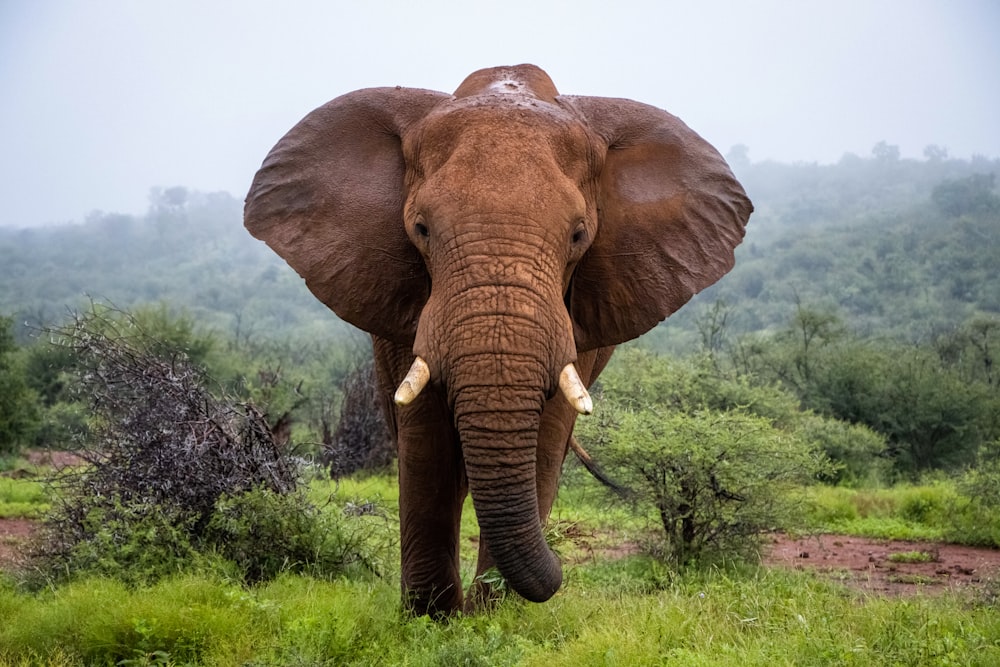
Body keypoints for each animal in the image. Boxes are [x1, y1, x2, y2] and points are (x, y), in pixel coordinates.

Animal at [244, 64, 752, 616]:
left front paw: (495, 617)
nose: (561, 567)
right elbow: (425, 438)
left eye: (579, 236)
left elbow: (547, 434)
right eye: (420, 229)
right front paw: (433, 618)